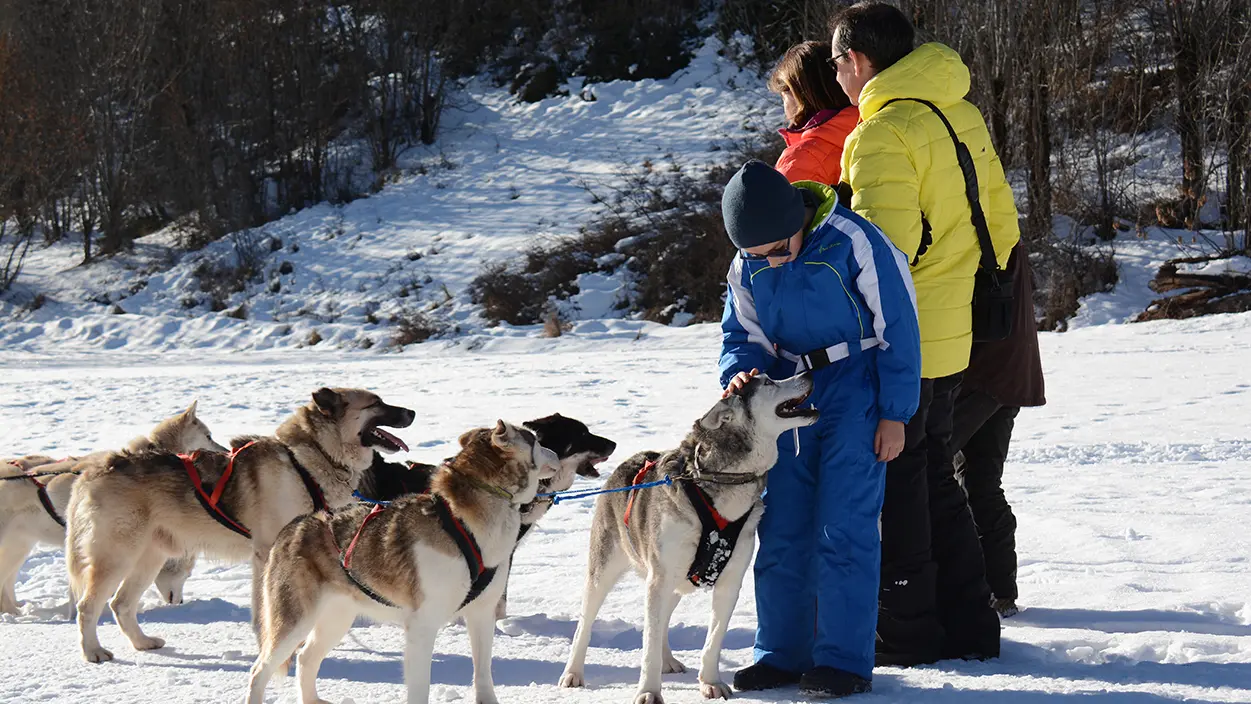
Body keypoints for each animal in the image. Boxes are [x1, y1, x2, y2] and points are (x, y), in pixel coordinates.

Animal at [67, 387, 415, 665]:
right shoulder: (267, 554)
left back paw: (142, 643)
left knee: (121, 604)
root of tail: (97, 468)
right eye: (376, 403)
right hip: (118, 557)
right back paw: (92, 651)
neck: (304, 463)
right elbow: (265, 611)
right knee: (88, 606)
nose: (412, 411)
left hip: (150, 557)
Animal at [243, 422, 557, 700]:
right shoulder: (422, 626)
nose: (554, 451)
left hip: (337, 617)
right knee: (259, 671)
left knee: (306, 659)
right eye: (534, 440)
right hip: (295, 621)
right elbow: (420, 690)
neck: (464, 524)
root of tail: (294, 526)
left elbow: (483, 677)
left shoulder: (481, 614)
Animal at [560, 372, 815, 700]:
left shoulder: (729, 581)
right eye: (769, 382)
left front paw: (711, 682)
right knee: (586, 624)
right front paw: (649, 692)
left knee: (663, 620)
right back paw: (573, 673)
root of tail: (633, 459)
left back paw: (668, 659)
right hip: (607, 570)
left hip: (674, 581)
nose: (808, 373)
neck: (723, 482)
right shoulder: (659, 578)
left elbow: (713, 640)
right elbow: (648, 646)